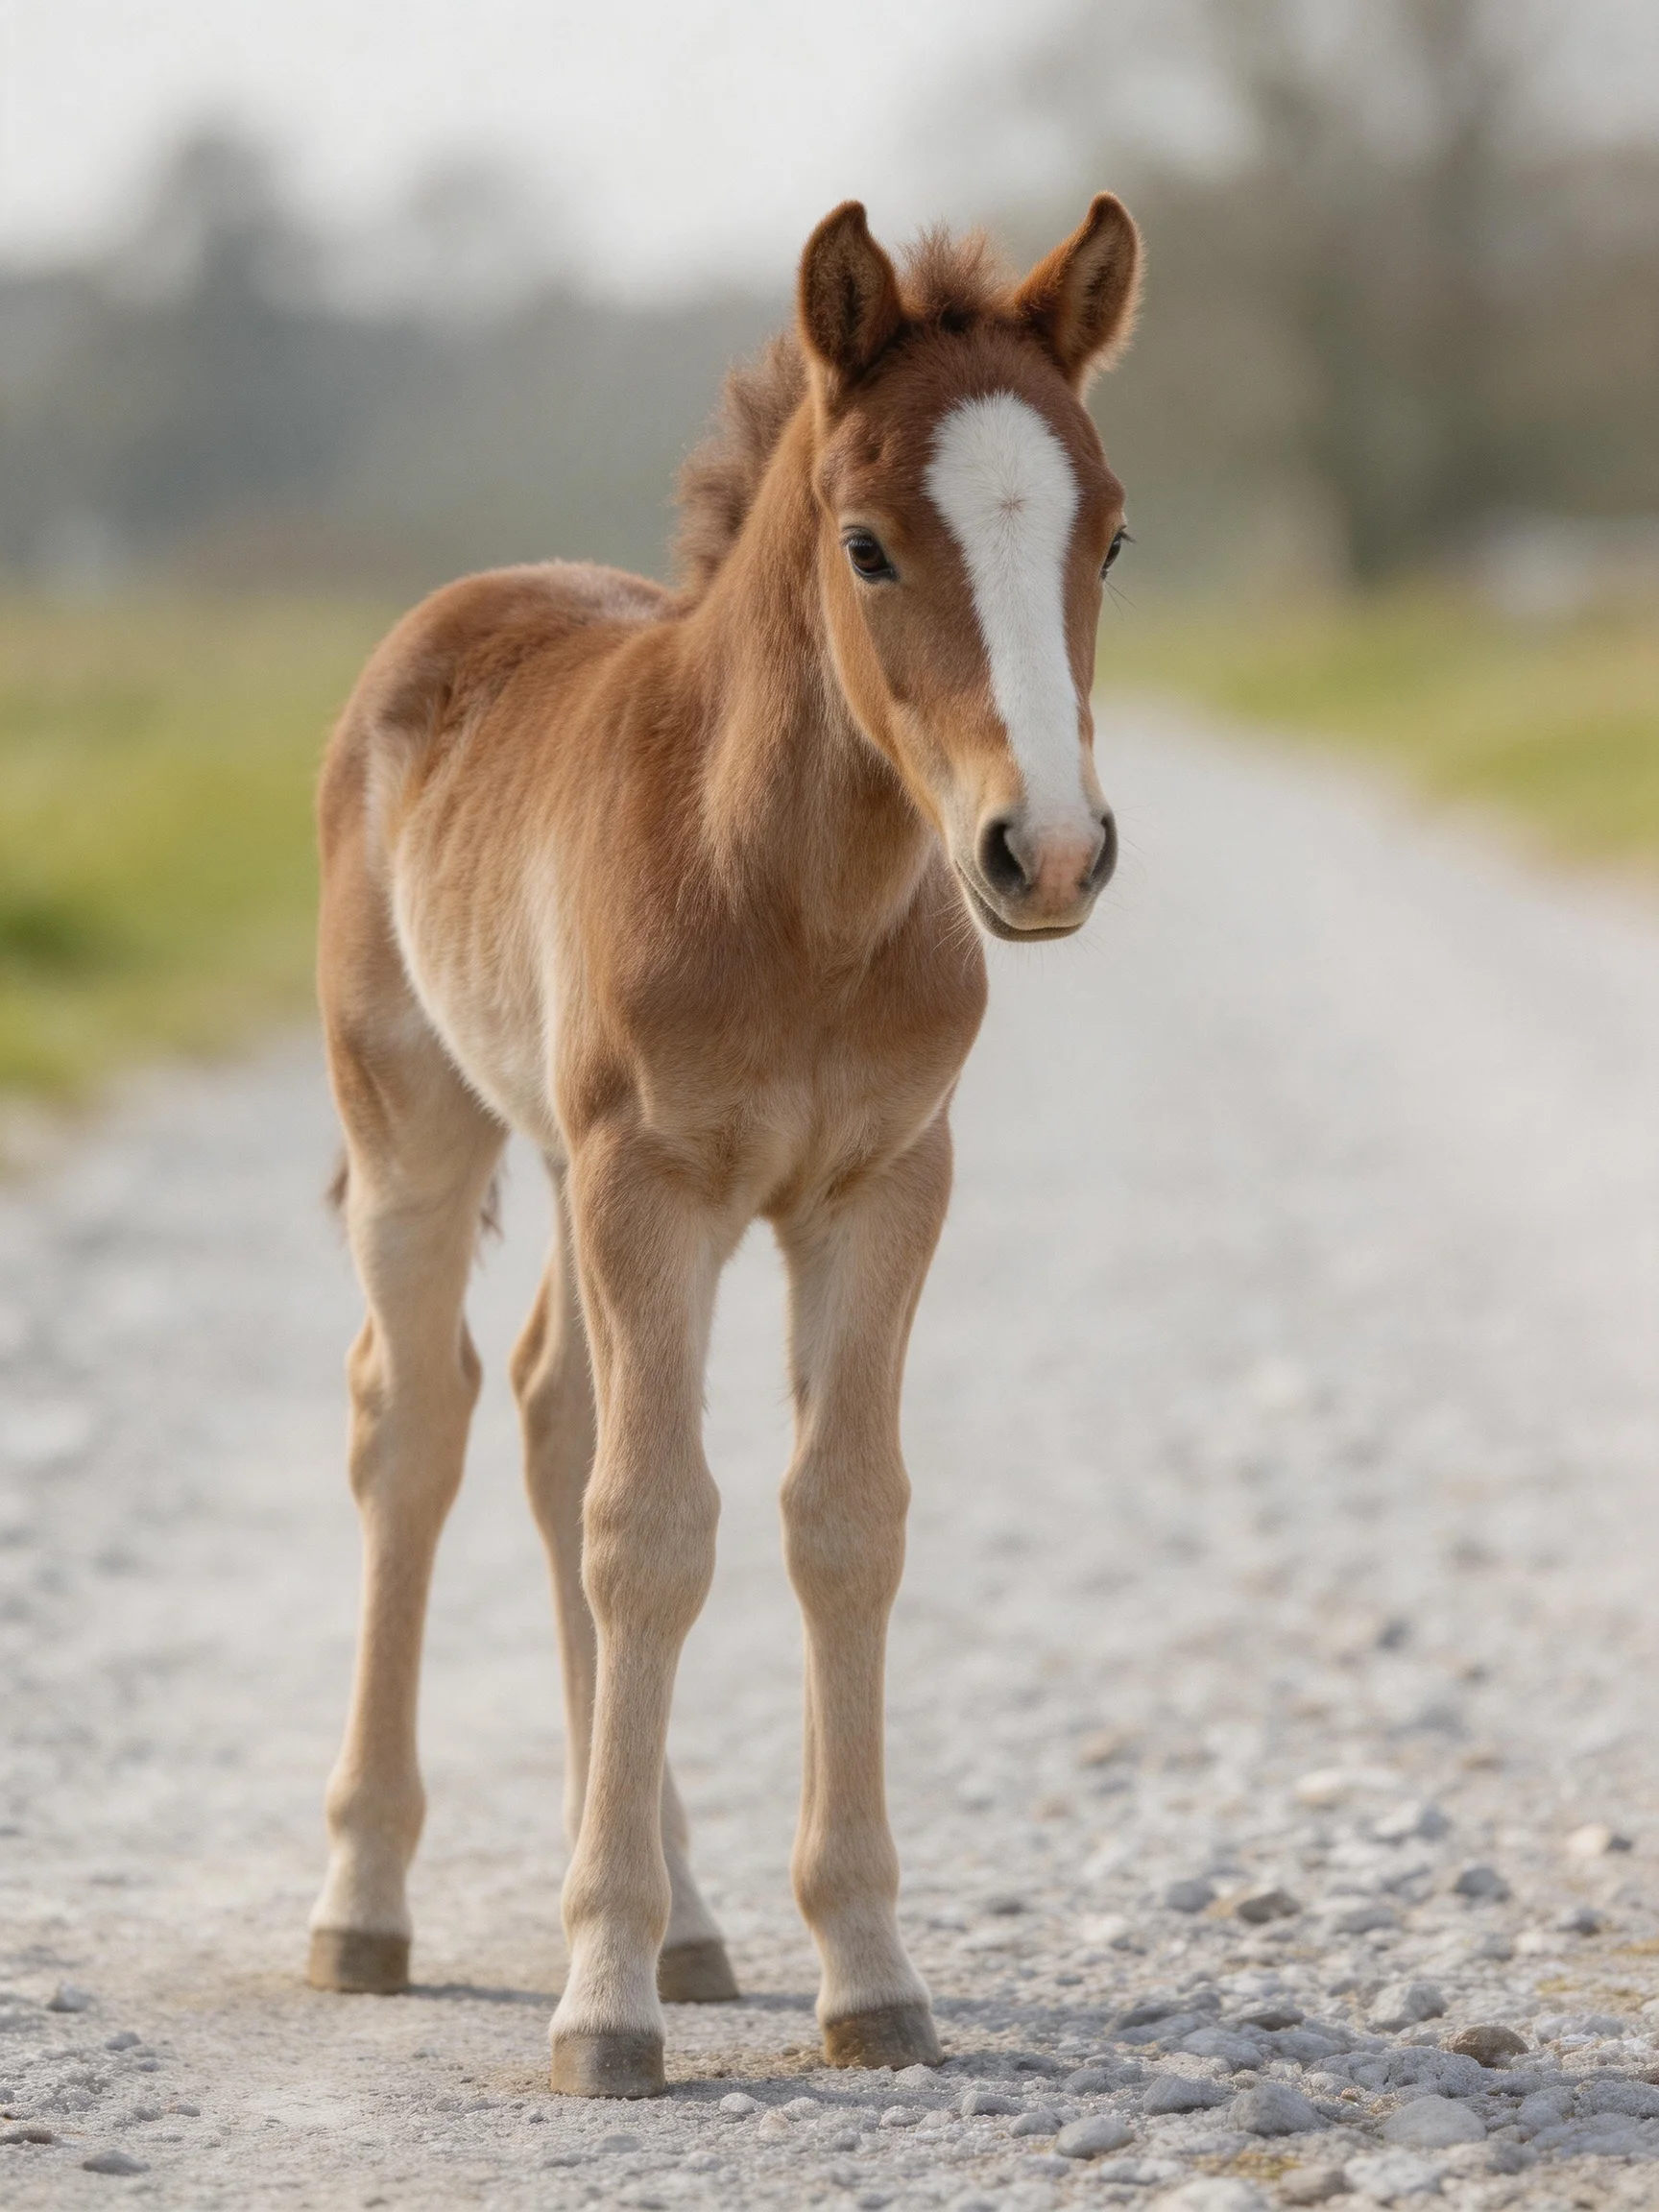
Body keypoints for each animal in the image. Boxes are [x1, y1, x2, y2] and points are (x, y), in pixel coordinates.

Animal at [306, 192, 1140, 2098]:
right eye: (867, 544)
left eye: (1115, 536)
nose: (1047, 851)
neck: (792, 889)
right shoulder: (656, 1180)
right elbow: (653, 1531)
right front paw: (597, 2002)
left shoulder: (885, 1183)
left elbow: (840, 1519)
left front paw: (866, 1970)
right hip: (421, 1121)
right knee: (418, 1424)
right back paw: (365, 1905)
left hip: (561, 1159)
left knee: (550, 1411)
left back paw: (688, 1921)